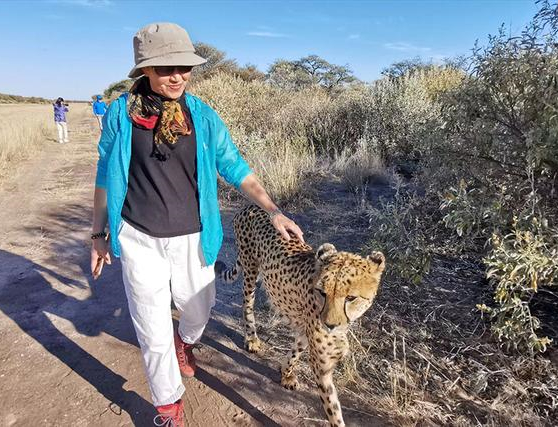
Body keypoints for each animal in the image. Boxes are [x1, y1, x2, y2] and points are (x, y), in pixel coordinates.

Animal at [217, 206, 388, 426]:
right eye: (323, 292)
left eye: (351, 297)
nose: (329, 325)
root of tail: (251, 207)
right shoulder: (322, 367)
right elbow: (333, 410)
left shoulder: (307, 331)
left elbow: (296, 350)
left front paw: (286, 374)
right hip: (250, 270)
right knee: (247, 303)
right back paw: (252, 339)